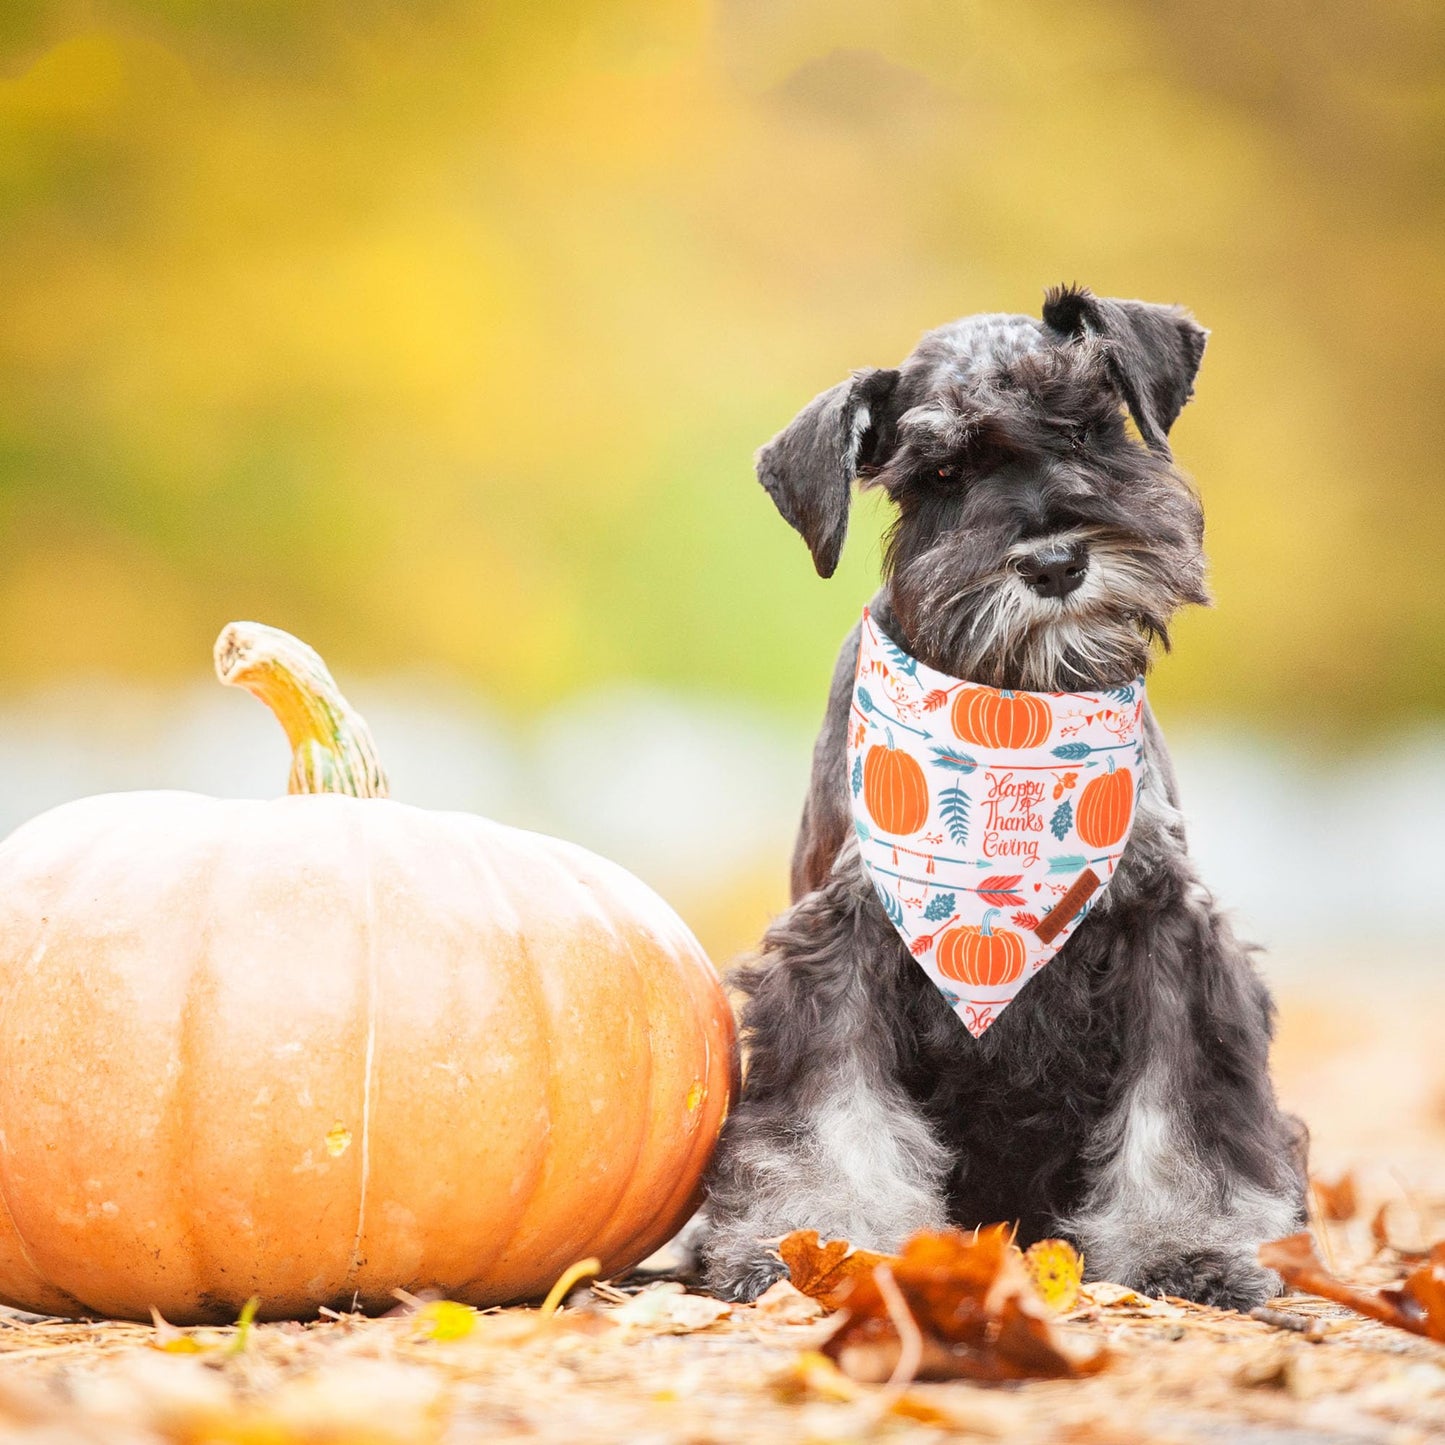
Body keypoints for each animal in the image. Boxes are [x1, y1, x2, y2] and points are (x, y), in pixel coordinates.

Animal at [699, 284, 1312, 1312]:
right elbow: (829, 1110)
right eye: (939, 471)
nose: (1054, 561)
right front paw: (810, 1241)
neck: (1014, 708)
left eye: (1089, 427)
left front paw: (1188, 1246)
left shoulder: (1168, 933)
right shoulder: (838, 945)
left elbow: (1180, 1112)